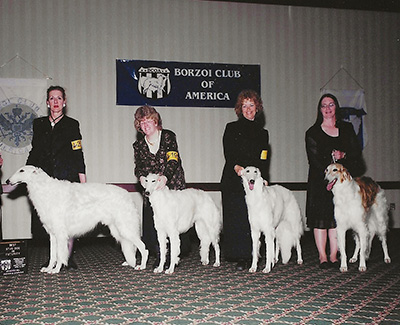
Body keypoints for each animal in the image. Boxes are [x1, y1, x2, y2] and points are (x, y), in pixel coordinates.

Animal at [7, 165, 148, 274]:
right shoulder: (52, 234)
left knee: (143, 247)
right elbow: (52, 255)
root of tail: (127, 194)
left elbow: (60, 254)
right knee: (133, 247)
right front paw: (48, 268)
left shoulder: (60, 234)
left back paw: (141, 266)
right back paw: (128, 262)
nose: (7, 181)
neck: (44, 189)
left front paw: (56, 270)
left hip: (125, 228)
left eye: (21, 170)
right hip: (118, 230)